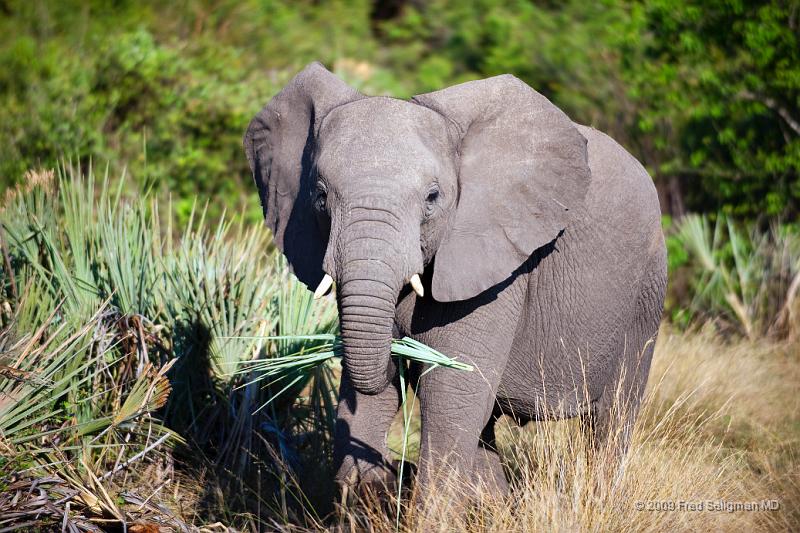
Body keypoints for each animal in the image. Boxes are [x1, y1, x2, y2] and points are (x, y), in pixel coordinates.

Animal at [244, 63, 668, 498]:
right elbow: (373, 395)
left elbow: (451, 396)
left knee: (612, 415)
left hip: (647, 290)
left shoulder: (497, 265)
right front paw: (365, 490)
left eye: (433, 198)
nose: (392, 468)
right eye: (320, 196)